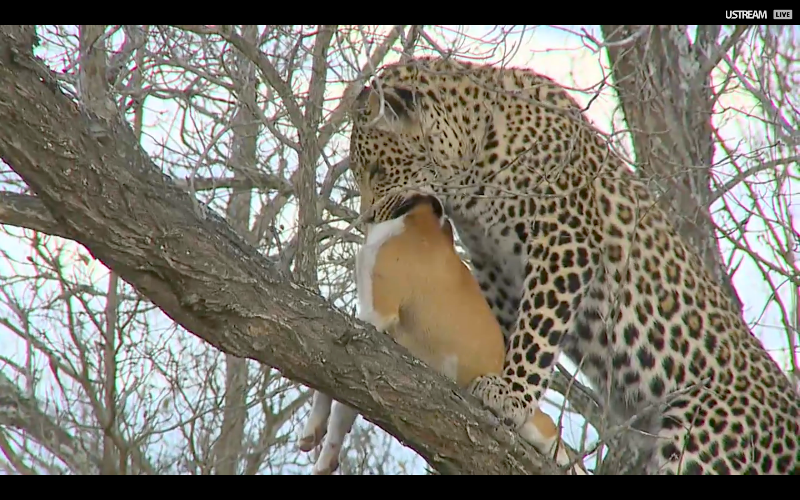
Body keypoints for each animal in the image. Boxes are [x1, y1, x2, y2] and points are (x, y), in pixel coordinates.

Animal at [300, 193, 588, 474]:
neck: (422, 224)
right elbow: (338, 401)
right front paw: (320, 445)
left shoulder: (373, 318)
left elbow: (333, 397)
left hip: (538, 427)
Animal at [348, 56, 800, 474]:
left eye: (378, 170)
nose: (366, 218)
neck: (472, 174)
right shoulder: (494, 267)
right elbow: (504, 327)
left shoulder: (565, 239)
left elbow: (537, 330)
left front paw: (511, 394)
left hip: (701, 436)